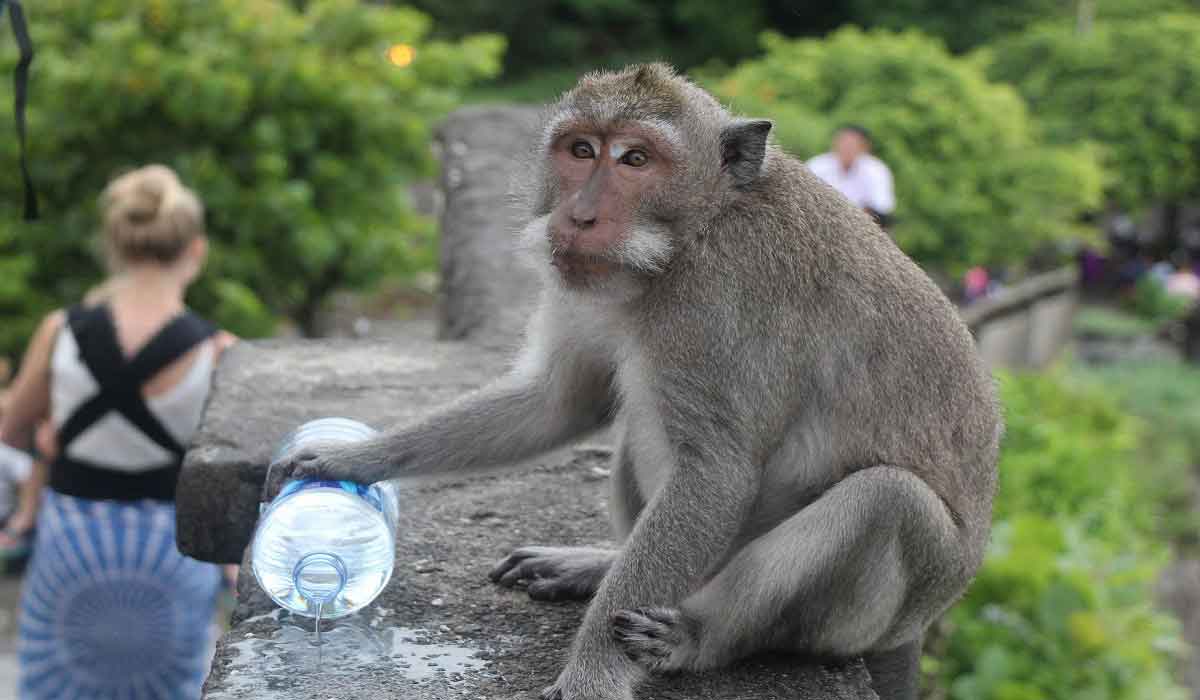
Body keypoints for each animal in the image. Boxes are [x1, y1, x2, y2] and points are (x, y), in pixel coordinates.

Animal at [265, 63, 1003, 696]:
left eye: (636, 160)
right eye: (581, 149)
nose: (580, 216)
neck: (688, 238)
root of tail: (919, 626)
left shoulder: (721, 298)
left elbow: (716, 473)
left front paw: (593, 671)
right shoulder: (582, 279)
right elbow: (561, 400)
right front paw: (348, 458)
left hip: (872, 614)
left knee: (888, 499)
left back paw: (700, 637)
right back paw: (597, 565)